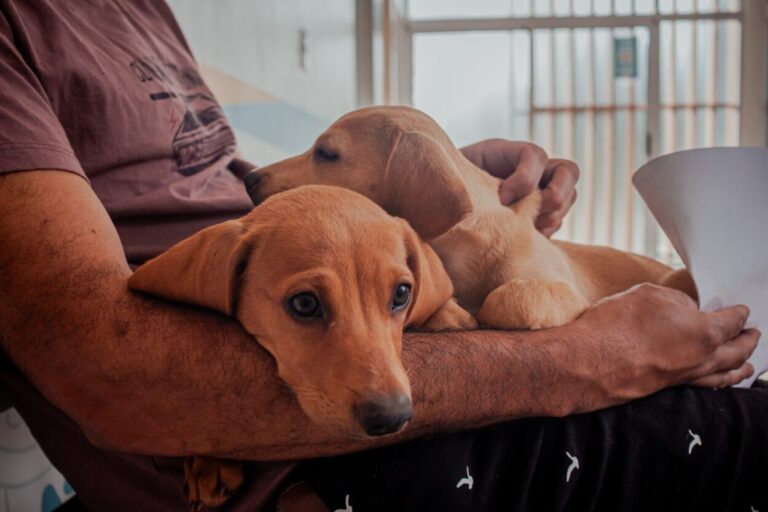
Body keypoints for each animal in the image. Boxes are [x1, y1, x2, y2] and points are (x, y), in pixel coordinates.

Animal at [246, 105, 696, 328]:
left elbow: (508, 299)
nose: (248, 178)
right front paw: (450, 311)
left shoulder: (562, 289)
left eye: (326, 153)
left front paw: (477, 309)